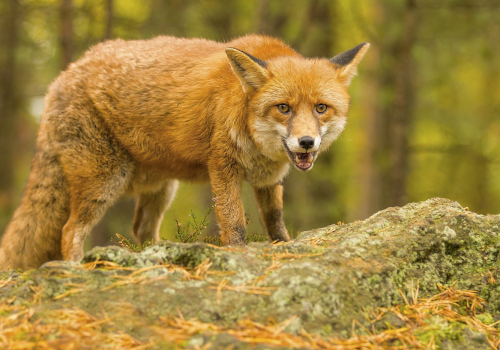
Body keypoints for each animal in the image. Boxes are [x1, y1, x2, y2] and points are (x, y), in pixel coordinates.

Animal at [0, 34, 368, 270]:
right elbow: (234, 223)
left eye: (321, 108)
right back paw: (75, 268)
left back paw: (152, 258)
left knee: (141, 230)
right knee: (69, 231)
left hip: (161, 190)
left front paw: (284, 247)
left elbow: (275, 220)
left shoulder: (268, 178)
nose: (306, 142)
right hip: (103, 181)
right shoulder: (222, 167)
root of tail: (63, 75)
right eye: (284, 108)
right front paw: (237, 256)